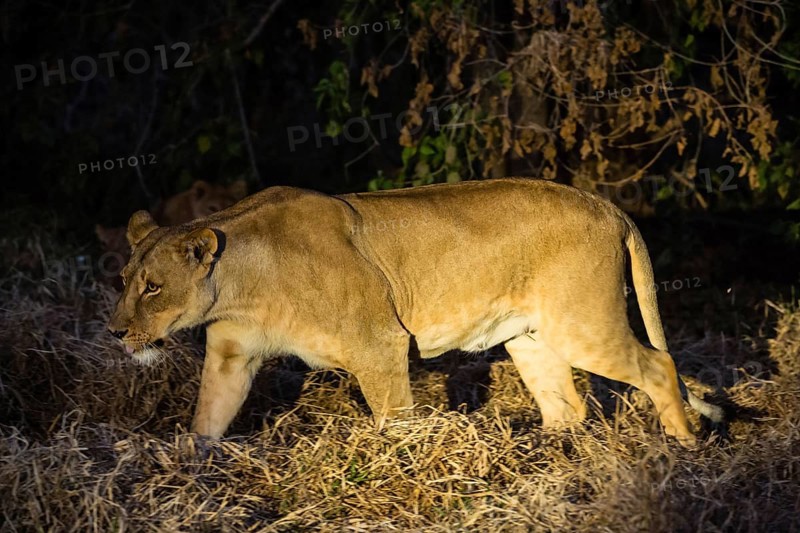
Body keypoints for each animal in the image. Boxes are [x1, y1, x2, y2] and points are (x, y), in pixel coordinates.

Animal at [107, 178, 722, 446]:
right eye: (124, 282)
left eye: (153, 288)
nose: (115, 332)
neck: (241, 284)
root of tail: (608, 205)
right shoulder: (231, 357)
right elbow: (206, 421)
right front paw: (193, 473)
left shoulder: (379, 343)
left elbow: (394, 419)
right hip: (530, 337)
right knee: (567, 406)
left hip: (581, 324)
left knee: (658, 367)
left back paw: (683, 446)